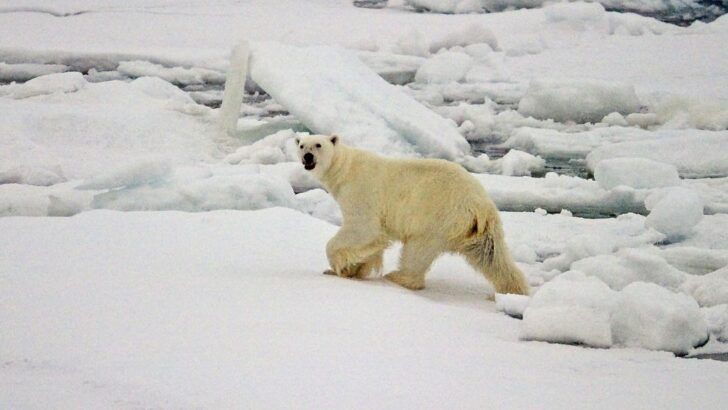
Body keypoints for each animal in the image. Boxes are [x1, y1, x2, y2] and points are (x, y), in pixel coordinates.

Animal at [296, 134, 529, 296]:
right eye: (301, 145)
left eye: (318, 144)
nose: (308, 156)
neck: (345, 169)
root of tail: (480, 205)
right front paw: (355, 268)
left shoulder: (361, 191)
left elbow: (364, 228)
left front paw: (341, 266)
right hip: (479, 229)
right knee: (492, 256)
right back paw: (514, 289)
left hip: (438, 216)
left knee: (417, 250)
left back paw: (398, 277)